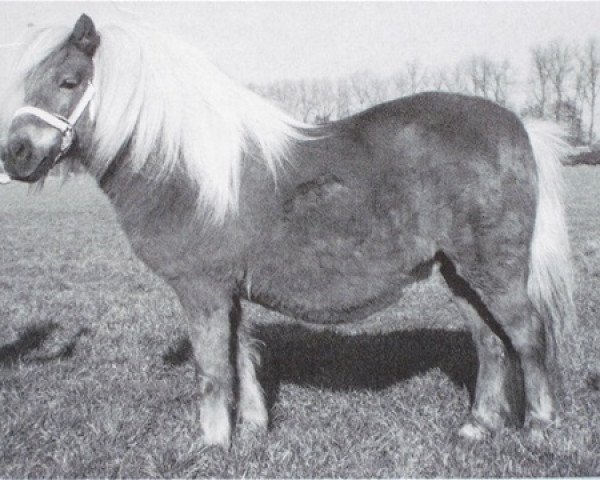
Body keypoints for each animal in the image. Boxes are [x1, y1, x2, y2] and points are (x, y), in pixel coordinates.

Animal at [0, 15, 576, 448]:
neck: (187, 168)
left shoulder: (202, 290)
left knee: (527, 334)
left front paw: (213, 444)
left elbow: (213, 369)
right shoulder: (229, 291)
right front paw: (253, 429)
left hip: (493, 270)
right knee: (490, 342)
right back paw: (477, 426)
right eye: (28, 82)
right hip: (458, 273)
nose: (16, 155)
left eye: (70, 81)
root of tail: (519, 123)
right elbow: (241, 355)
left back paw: (541, 428)